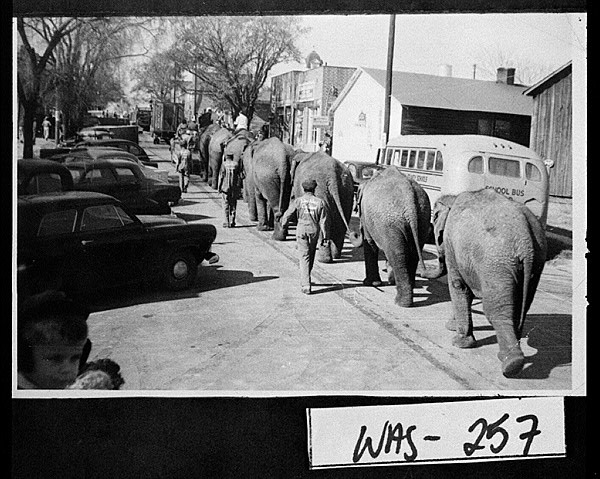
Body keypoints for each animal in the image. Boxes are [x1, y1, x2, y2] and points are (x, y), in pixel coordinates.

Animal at [346, 165, 432, 308]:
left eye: (357, 207)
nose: (355, 233)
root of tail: (410, 200)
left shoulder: (367, 217)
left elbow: (369, 243)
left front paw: (370, 283)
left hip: (391, 223)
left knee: (397, 253)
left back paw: (400, 302)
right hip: (422, 220)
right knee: (413, 253)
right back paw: (408, 289)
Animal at [424, 188, 548, 378]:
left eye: (435, 219)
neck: (454, 197)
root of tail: (525, 240)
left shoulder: (453, 245)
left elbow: (458, 285)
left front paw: (458, 341)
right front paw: (453, 328)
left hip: (496, 263)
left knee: (495, 310)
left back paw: (511, 364)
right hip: (535, 262)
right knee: (522, 306)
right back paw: (508, 355)